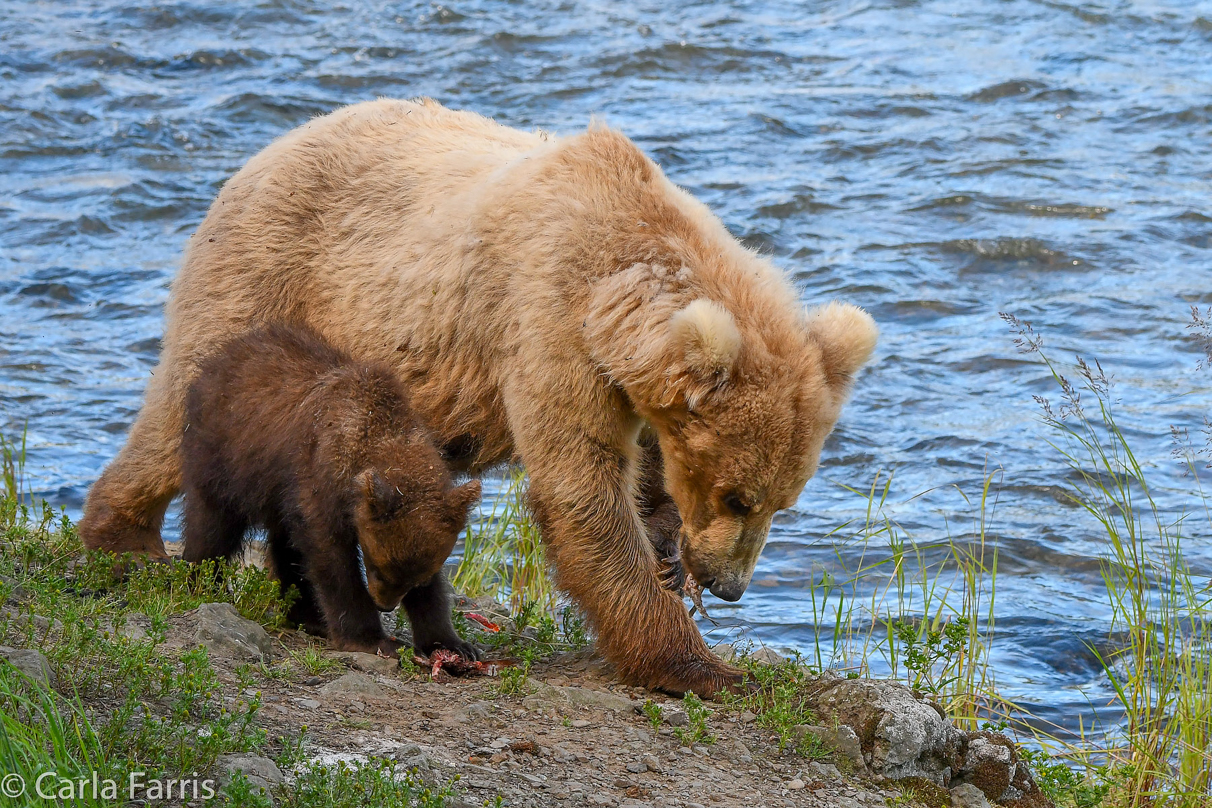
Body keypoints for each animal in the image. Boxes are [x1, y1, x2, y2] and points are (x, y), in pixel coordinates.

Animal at [87, 99, 882, 697]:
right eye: (737, 495)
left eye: (783, 500)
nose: (730, 587)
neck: (618, 285)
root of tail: (266, 150)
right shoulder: (546, 322)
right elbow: (581, 491)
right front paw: (697, 664)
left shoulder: (628, 386)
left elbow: (641, 478)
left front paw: (667, 559)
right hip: (267, 275)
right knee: (176, 408)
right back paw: (121, 535)